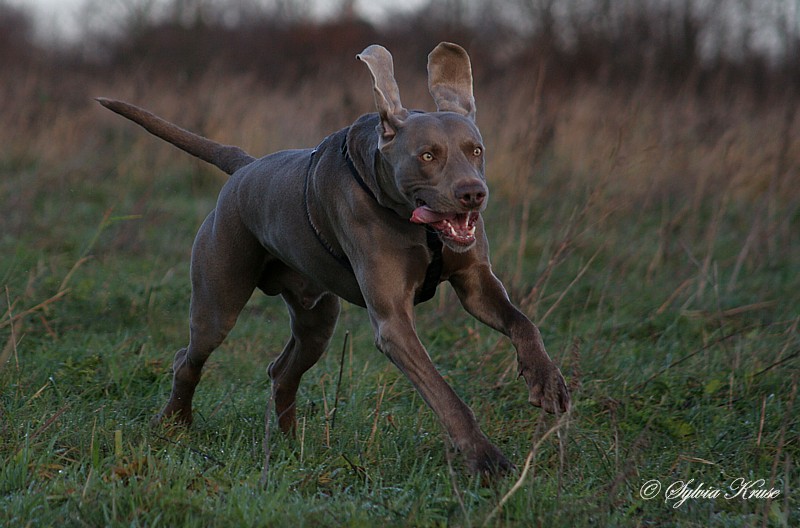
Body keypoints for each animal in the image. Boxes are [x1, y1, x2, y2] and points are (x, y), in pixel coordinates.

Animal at [98, 42, 568, 474]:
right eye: (427, 155)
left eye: (476, 150)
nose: (474, 193)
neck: (415, 225)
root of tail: (245, 166)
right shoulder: (393, 324)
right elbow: (442, 391)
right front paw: (486, 458)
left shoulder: (475, 282)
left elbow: (522, 323)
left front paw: (546, 380)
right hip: (217, 302)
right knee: (190, 358)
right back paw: (175, 422)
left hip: (318, 318)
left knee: (282, 371)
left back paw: (291, 445)